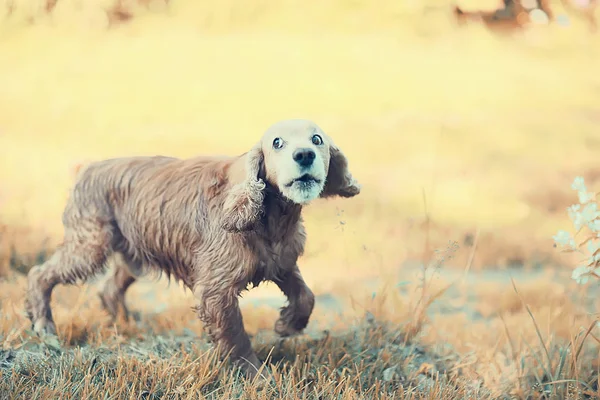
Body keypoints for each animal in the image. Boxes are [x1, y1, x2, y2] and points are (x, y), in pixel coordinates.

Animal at [24, 118, 360, 382]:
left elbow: (306, 296)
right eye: (277, 143)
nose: (304, 154)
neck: (271, 217)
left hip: (134, 254)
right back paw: (44, 326)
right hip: (89, 247)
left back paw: (126, 323)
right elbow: (235, 336)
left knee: (108, 289)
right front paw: (256, 375)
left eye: (317, 139)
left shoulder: (282, 264)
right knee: (40, 274)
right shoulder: (216, 290)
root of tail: (87, 167)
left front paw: (287, 325)